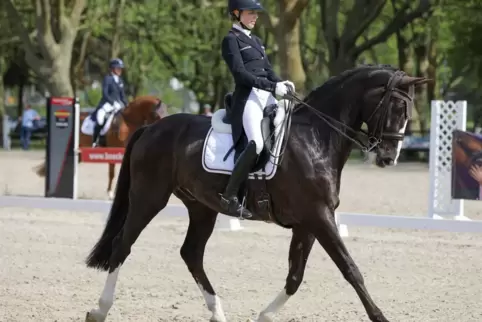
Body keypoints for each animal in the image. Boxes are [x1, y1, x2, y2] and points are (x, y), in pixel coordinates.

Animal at [84, 64, 430, 320]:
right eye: (399, 106)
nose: (388, 158)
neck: (316, 138)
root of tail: (152, 128)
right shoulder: (319, 217)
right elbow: (351, 269)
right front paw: (379, 316)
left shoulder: (308, 223)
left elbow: (295, 277)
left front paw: (264, 316)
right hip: (149, 197)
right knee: (122, 245)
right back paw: (99, 310)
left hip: (202, 207)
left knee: (191, 253)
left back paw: (218, 313)